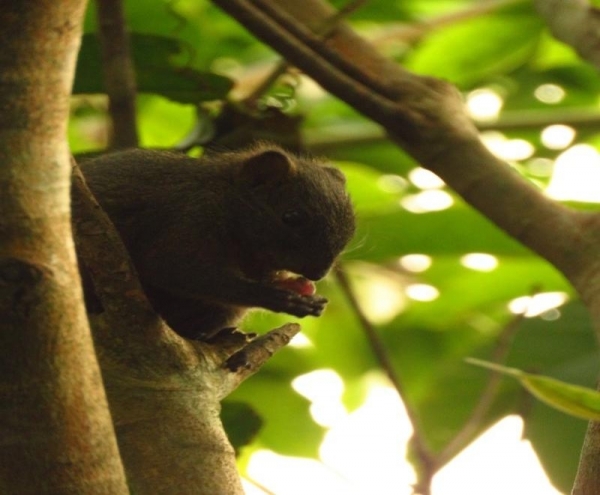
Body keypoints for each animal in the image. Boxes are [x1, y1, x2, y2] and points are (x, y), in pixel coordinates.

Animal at [77, 143, 354, 340]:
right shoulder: (188, 217)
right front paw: (283, 299)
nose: (318, 273)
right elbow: (174, 268)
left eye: (350, 229)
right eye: (292, 217)